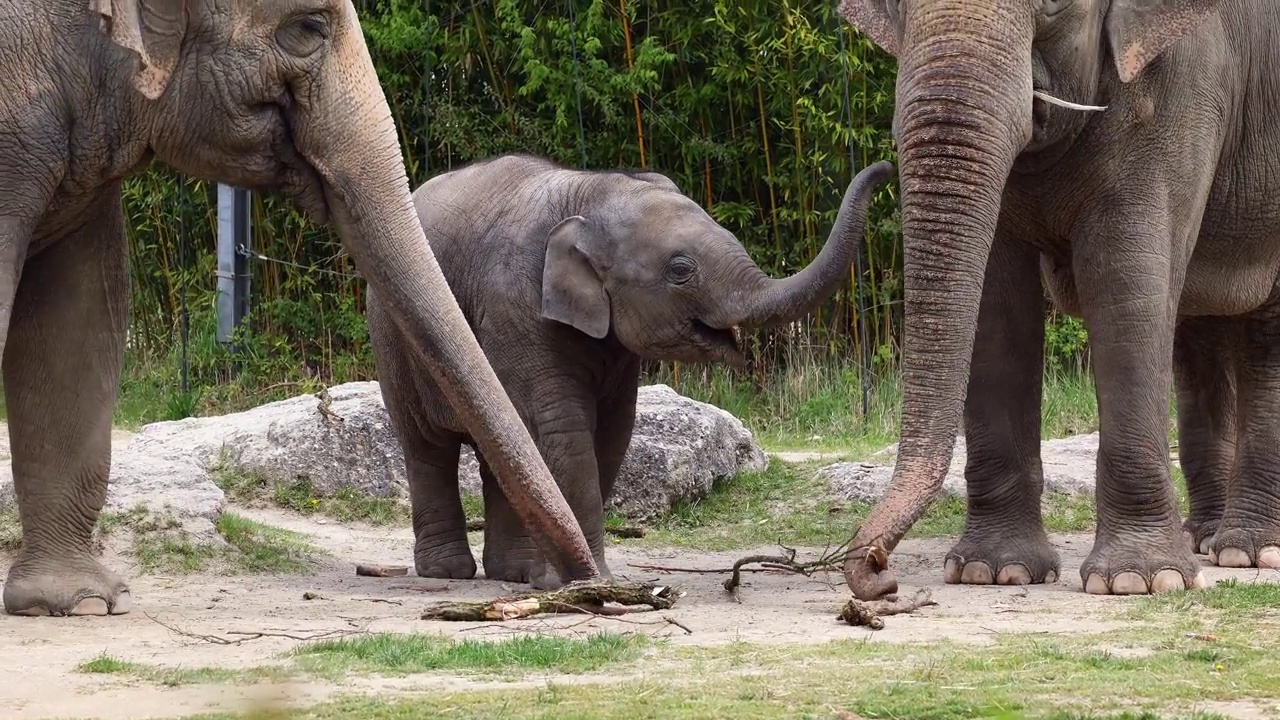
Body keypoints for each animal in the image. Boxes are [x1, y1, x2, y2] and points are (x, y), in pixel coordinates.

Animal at [366, 154, 896, 586]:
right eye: (681, 270)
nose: (886, 167)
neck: (591, 192)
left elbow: (613, 434)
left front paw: (564, 579)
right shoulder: (513, 308)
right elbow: (564, 430)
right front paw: (585, 584)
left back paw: (511, 575)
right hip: (393, 334)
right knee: (426, 446)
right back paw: (447, 573)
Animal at [839, 0, 1280, 597]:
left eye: (1051, 7)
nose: (877, 572)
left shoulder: (1183, 82)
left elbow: (1125, 284)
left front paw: (1138, 581)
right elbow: (998, 303)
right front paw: (993, 571)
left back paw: (1247, 551)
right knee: (1199, 335)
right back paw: (1207, 540)